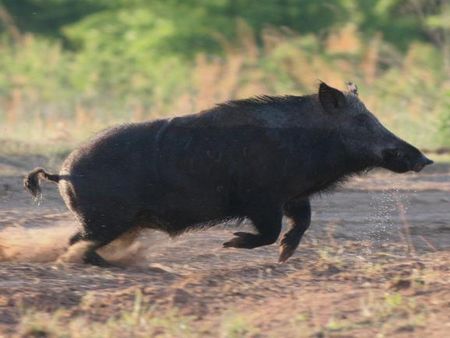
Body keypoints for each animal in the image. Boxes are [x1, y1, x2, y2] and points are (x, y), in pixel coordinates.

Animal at [23, 82, 432, 266]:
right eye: (361, 121)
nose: (424, 159)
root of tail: (63, 174)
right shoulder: (261, 199)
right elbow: (269, 231)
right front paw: (230, 244)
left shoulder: (293, 196)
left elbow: (301, 224)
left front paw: (284, 258)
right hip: (106, 218)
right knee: (78, 243)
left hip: (111, 220)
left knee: (78, 242)